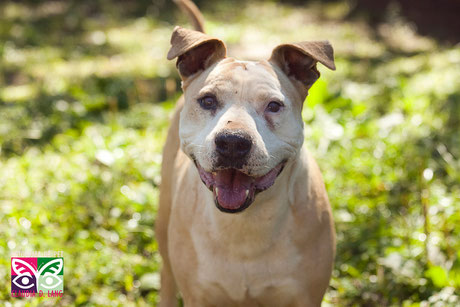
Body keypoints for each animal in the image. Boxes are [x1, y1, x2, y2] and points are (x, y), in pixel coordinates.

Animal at [156, 1, 336, 306]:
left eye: (274, 106)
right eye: (207, 101)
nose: (232, 142)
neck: (245, 224)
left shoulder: (306, 296)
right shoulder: (197, 296)